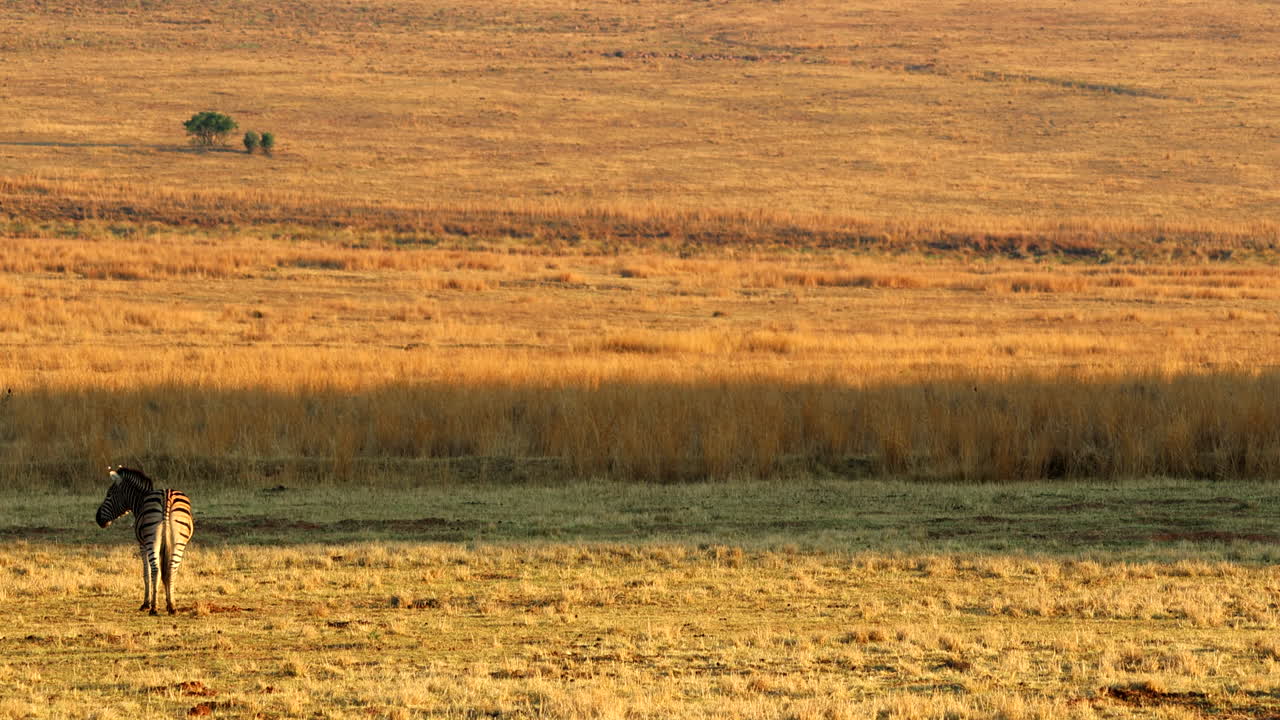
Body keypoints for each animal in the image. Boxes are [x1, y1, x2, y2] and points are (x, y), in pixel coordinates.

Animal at [94, 466, 195, 615]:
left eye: (109, 495)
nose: (97, 518)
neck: (140, 501)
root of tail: (167, 496)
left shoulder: (142, 545)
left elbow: (146, 573)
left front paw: (146, 603)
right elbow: (165, 572)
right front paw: (167, 601)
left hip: (151, 541)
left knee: (155, 570)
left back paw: (153, 608)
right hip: (179, 542)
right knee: (171, 569)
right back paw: (172, 607)